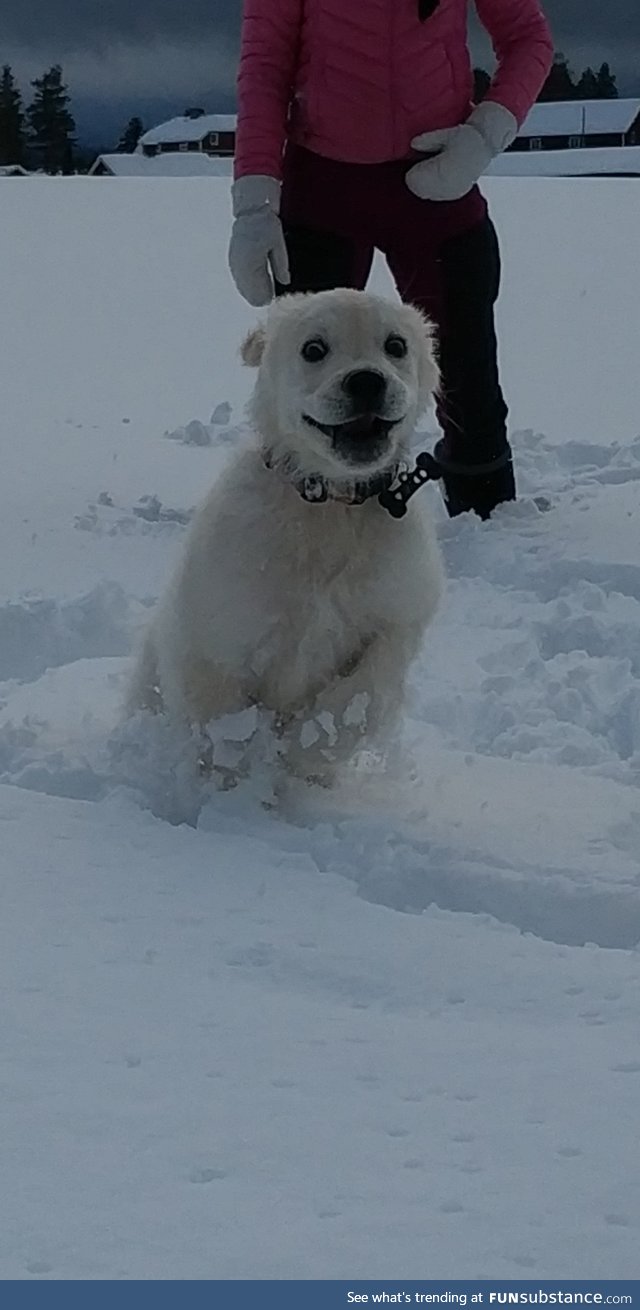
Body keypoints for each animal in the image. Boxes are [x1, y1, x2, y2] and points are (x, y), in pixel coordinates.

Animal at [126, 289, 442, 785]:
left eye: (396, 345)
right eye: (313, 349)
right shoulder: (213, 631)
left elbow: (362, 699)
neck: (329, 505)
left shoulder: (398, 616)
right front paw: (239, 783)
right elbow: (220, 721)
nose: (366, 381)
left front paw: (299, 752)